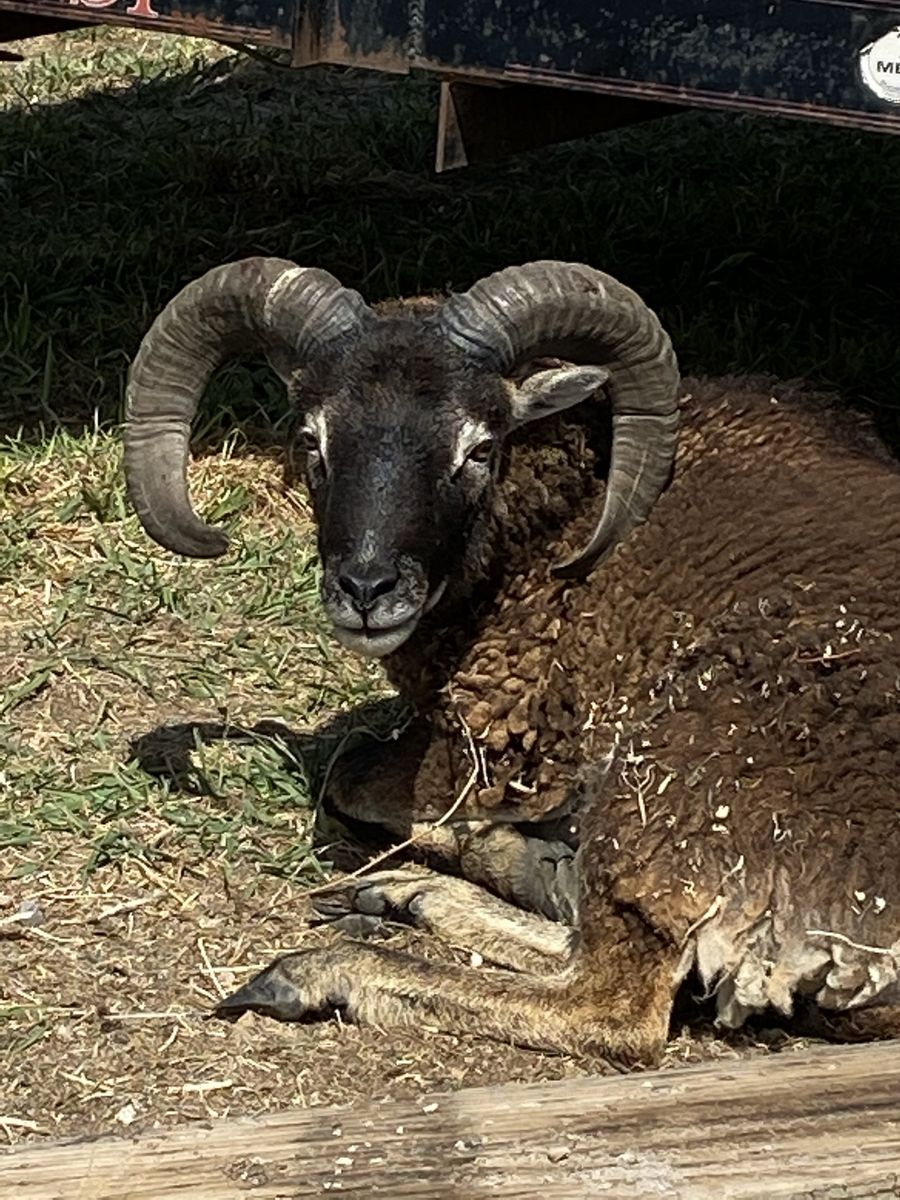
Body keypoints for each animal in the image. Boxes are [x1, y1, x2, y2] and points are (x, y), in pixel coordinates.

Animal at [123, 257, 900, 1065]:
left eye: (478, 449)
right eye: (312, 441)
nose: (366, 589)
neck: (576, 512)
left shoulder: (498, 749)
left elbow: (351, 776)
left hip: (678, 778)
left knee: (613, 1001)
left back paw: (330, 964)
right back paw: (425, 891)